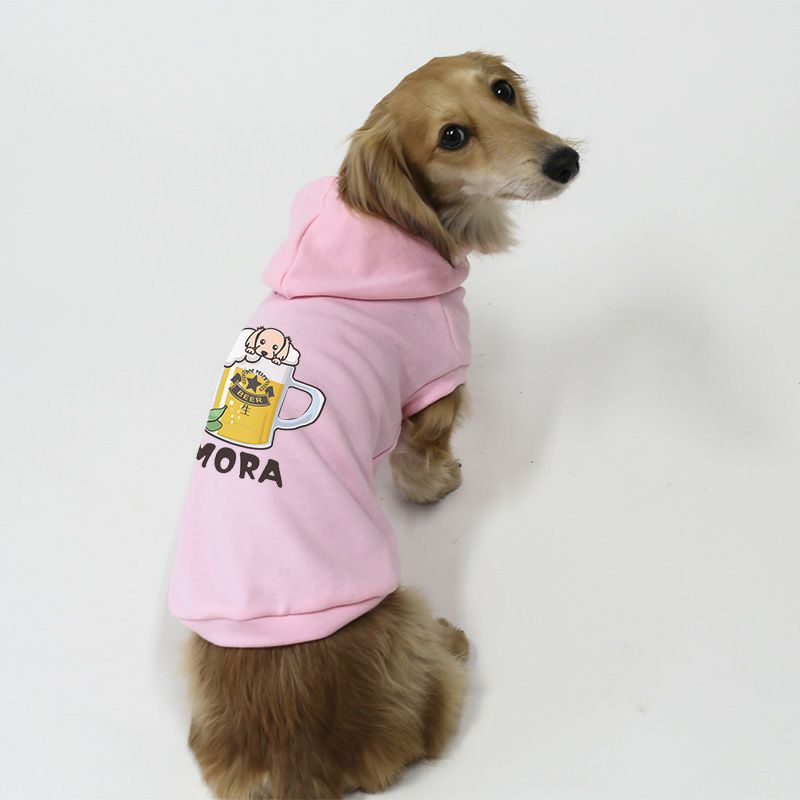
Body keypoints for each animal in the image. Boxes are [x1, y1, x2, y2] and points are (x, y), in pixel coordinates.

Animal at [172, 51, 579, 799]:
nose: (565, 160)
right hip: (405, 614)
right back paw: (453, 646)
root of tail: (297, 760)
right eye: (452, 137)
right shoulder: (436, 388)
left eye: (503, 91)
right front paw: (441, 484)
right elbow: (420, 462)